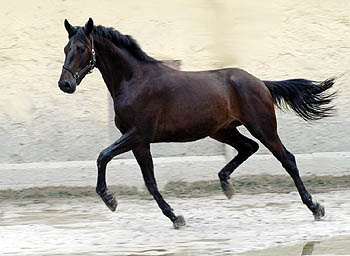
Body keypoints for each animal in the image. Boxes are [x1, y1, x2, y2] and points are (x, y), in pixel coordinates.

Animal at [58, 18, 336, 228]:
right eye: (65, 48)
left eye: (81, 48)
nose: (65, 84)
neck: (134, 80)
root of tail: (260, 82)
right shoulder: (139, 142)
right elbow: (150, 181)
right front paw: (175, 217)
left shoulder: (138, 134)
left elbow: (103, 156)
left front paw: (109, 199)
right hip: (222, 131)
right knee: (248, 147)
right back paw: (225, 184)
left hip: (263, 126)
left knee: (287, 159)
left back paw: (315, 207)